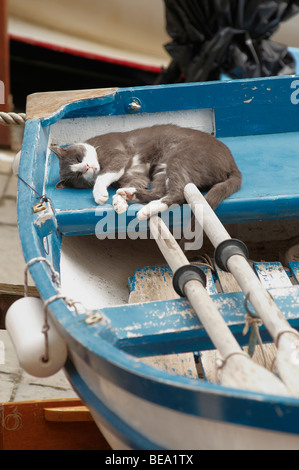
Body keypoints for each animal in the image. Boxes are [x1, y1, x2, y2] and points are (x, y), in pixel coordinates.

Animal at [51, 125, 243, 220]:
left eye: (78, 158)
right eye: (78, 176)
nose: (87, 167)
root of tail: (232, 164)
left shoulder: (117, 154)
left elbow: (106, 173)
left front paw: (100, 194)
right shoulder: (134, 175)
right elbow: (137, 181)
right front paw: (120, 203)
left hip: (180, 156)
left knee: (179, 192)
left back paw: (146, 209)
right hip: (161, 169)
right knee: (160, 190)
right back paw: (127, 195)